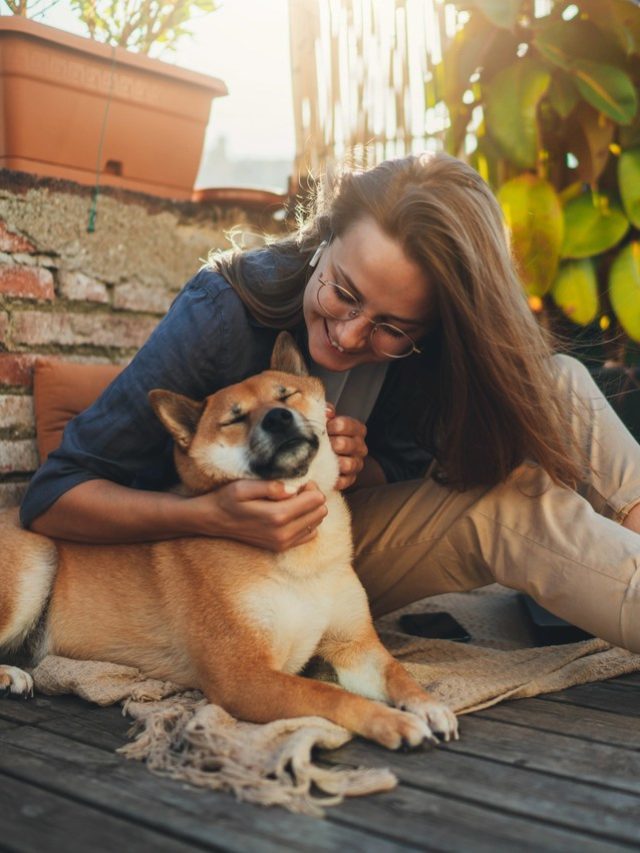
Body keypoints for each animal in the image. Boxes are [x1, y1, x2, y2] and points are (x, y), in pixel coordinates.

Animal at [0, 332, 460, 744]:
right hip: (37, 562)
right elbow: (330, 695)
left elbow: (398, 673)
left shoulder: (354, 646)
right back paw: (9, 675)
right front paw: (393, 722)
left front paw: (427, 705)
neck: (300, 556)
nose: (277, 418)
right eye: (235, 418)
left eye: (286, 396)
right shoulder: (244, 677)